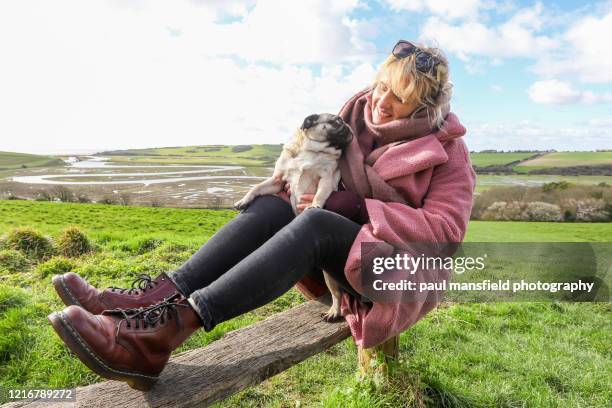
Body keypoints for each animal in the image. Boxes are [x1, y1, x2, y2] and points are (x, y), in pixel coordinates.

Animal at [234, 114, 354, 322]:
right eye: (337, 121)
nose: (347, 124)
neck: (311, 150)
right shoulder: (277, 181)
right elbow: (257, 187)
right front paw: (244, 199)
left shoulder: (327, 179)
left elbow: (319, 194)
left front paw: (314, 205)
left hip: (330, 278)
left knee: (338, 295)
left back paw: (334, 311)